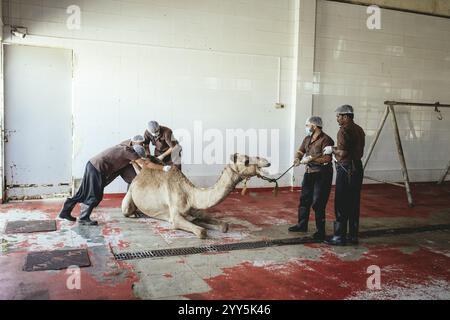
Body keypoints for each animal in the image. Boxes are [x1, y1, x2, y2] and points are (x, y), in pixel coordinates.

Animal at [119, 154, 272, 239]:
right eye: (246, 161)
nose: (267, 162)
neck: (191, 196)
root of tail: (140, 172)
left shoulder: (198, 212)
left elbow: (223, 225)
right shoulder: (175, 218)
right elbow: (201, 232)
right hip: (130, 195)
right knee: (127, 209)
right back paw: (135, 214)